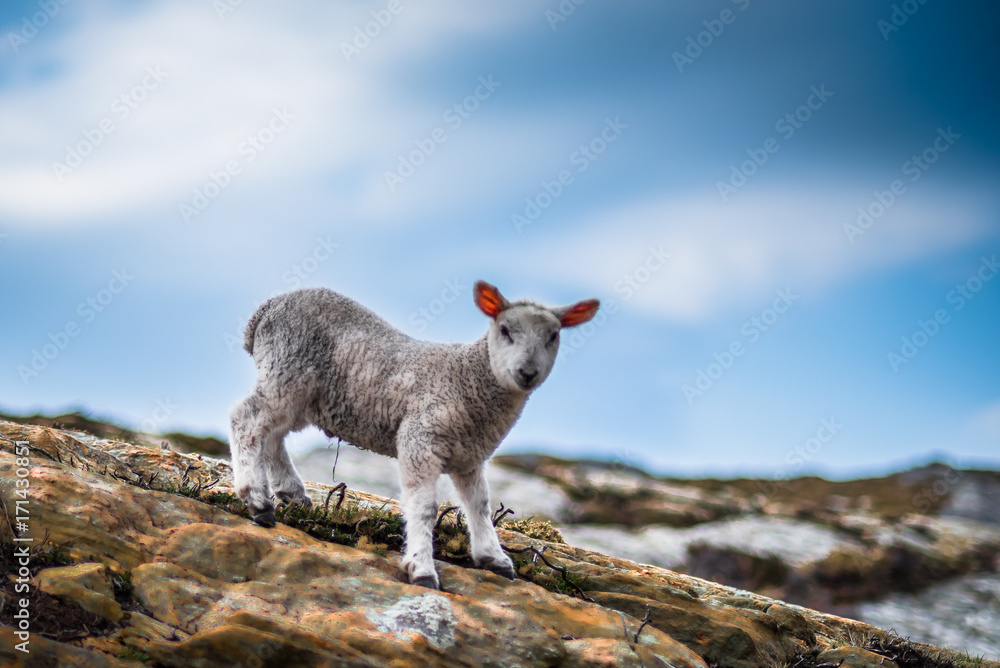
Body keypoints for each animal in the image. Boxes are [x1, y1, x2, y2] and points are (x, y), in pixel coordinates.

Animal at [229, 281, 599, 589]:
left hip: (304, 395)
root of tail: (265, 310)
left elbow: (479, 505)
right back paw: (257, 499)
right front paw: (421, 568)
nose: (527, 372)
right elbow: (424, 507)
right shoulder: (420, 437)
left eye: (553, 336)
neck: (470, 378)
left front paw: (493, 558)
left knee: (272, 435)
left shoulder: (469, 456)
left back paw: (290, 492)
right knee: (245, 419)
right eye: (505, 330)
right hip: (288, 369)